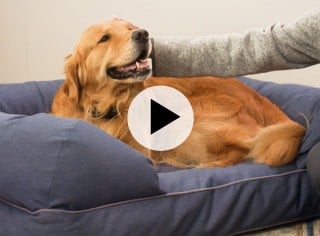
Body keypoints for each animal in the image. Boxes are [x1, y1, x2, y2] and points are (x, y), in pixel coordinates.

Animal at [51, 19, 306, 169]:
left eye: (131, 28)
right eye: (104, 38)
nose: (142, 34)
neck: (107, 107)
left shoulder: (141, 150)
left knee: (248, 146)